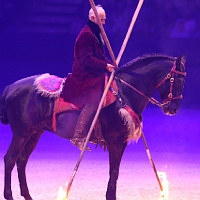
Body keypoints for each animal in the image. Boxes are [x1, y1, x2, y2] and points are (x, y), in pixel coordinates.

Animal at [0, 53, 186, 200]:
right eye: (177, 79)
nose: (173, 109)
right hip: (21, 133)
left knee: (22, 161)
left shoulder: (122, 142)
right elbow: (114, 171)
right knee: (10, 159)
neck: (124, 93)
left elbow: (115, 171)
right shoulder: (115, 141)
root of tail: (10, 87)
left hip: (34, 133)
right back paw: (9, 195)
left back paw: (27, 195)